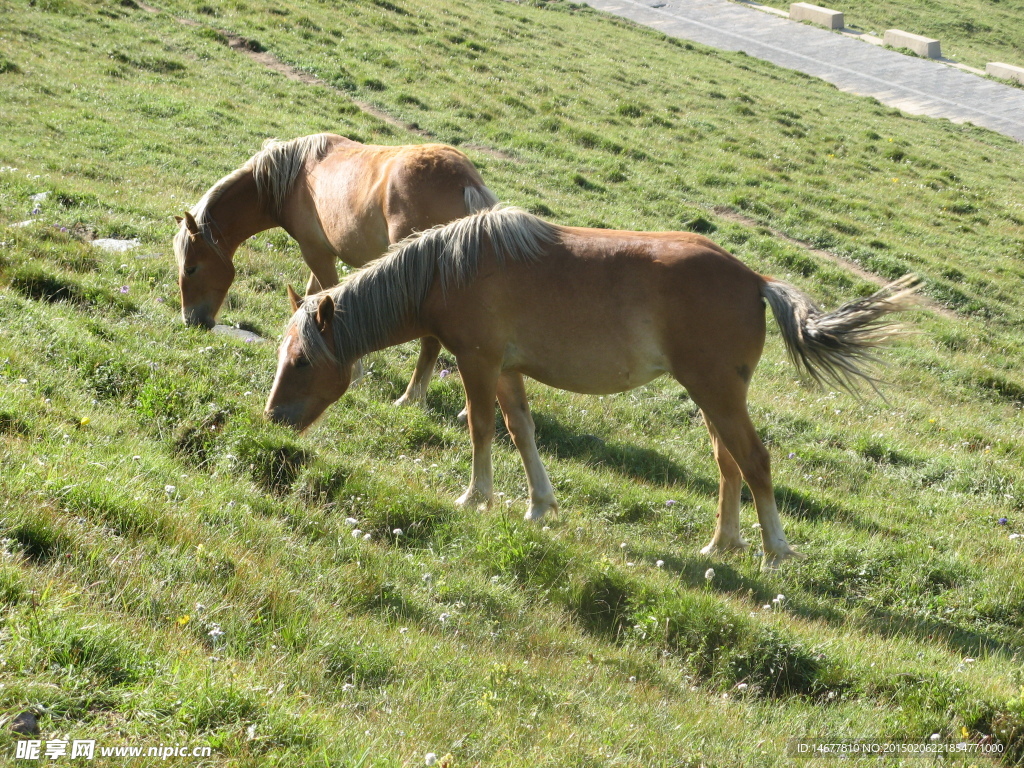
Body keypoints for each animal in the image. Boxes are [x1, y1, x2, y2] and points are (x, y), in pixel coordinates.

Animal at [173, 132, 499, 409]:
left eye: (190, 268)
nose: (192, 320)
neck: (294, 177)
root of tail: (466, 183)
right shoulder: (319, 254)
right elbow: (310, 296)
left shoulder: (316, 253)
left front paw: (353, 372)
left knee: (431, 342)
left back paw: (411, 398)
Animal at [264, 207, 921, 569]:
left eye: (301, 360)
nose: (273, 416)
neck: (449, 268)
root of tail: (754, 279)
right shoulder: (508, 370)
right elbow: (521, 431)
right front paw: (538, 504)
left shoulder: (479, 363)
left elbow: (482, 430)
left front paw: (476, 496)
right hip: (713, 398)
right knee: (728, 464)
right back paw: (722, 543)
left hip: (717, 393)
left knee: (755, 462)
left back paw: (774, 550)